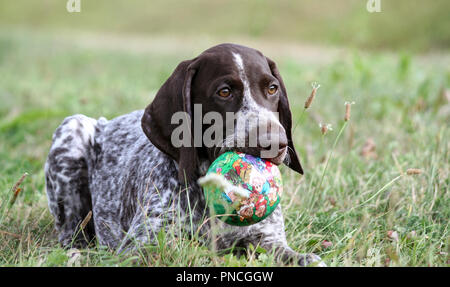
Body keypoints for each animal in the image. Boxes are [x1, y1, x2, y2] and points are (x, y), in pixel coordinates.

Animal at [44, 43, 324, 268]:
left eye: (272, 88)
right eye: (224, 92)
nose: (275, 143)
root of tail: (106, 122)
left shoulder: (267, 238)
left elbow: (299, 256)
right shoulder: (141, 246)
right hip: (72, 128)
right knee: (72, 236)